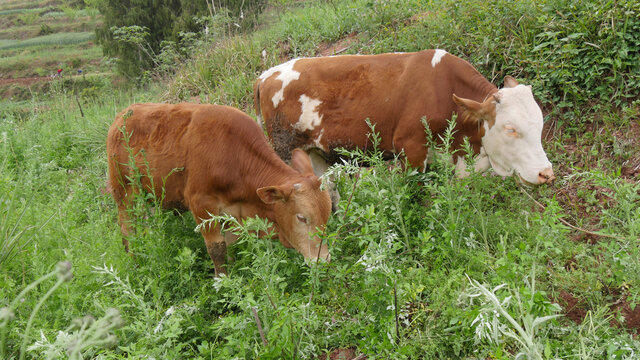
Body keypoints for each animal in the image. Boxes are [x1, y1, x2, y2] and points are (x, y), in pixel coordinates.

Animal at [105, 102, 332, 274]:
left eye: (327, 215)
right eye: (301, 218)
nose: (323, 260)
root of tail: (123, 115)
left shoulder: (231, 213)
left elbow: (230, 246)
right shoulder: (201, 205)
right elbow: (217, 249)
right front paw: (223, 282)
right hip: (123, 191)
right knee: (127, 228)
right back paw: (134, 261)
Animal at [255, 48, 556, 187]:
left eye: (540, 126)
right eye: (510, 129)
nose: (547, 173)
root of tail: (266, 74)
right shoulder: (410, 152)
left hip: (317, 155)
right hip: (286, 152)